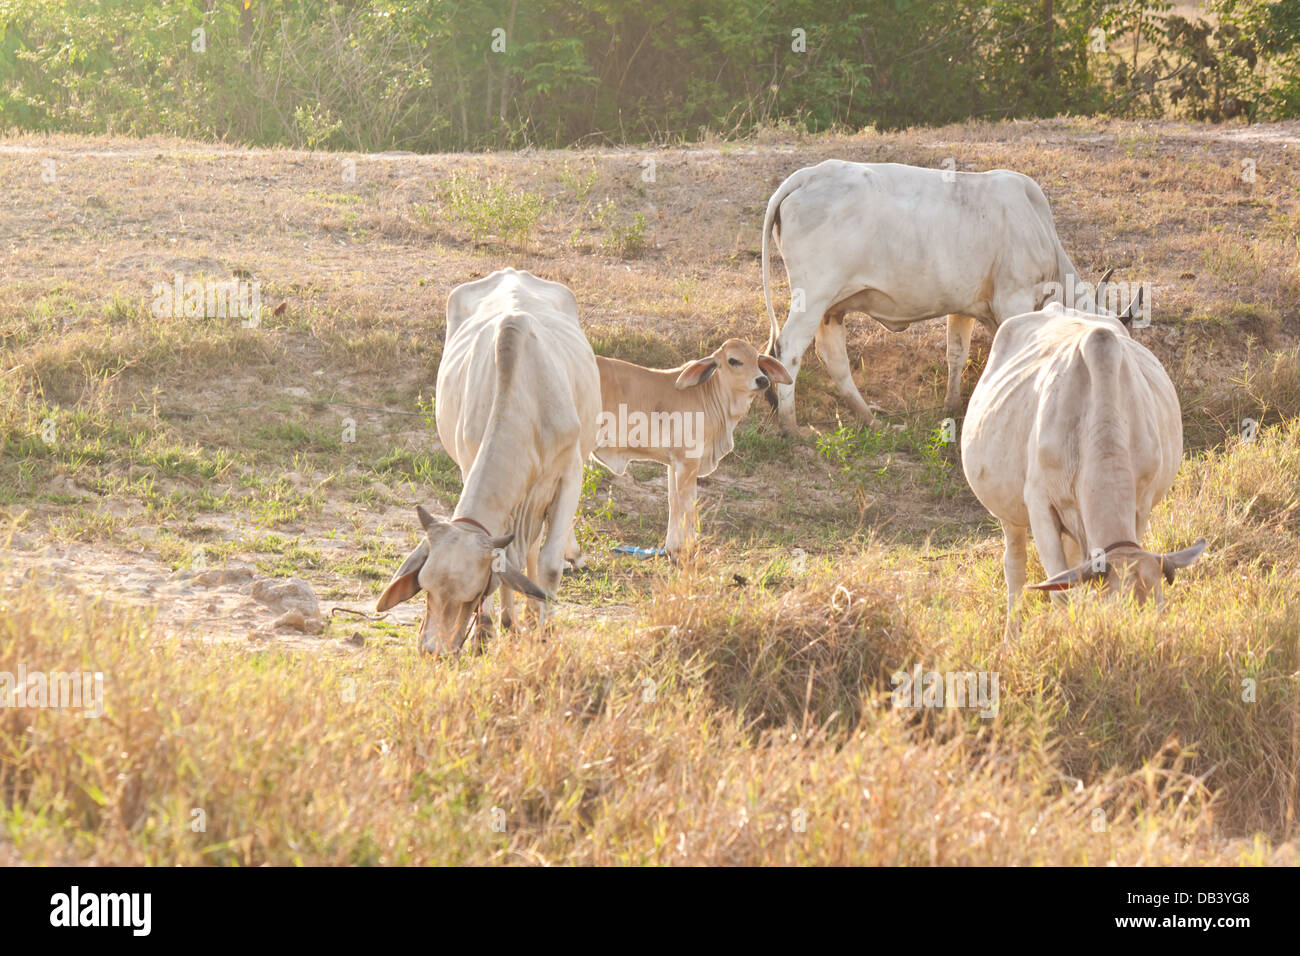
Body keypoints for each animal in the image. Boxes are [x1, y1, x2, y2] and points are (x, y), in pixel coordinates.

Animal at [374, 269, 600, 658]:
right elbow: (507, 556)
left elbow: (549, 565)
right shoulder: (472, 466)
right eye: (426, 590)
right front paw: (488, 630)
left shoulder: (570, 475)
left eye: (470, 595)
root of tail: (512, 272)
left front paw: (543, 631)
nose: (433, 650)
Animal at [592, 340, 790, 556]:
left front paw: (673, 549)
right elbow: (688, 504)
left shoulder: (673, 463)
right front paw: (688, 550)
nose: (762, 380)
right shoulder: (687, 462)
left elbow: (674, 501)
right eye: (733, 360)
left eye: (757, 360)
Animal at [759, 161, 1097, 434]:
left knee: (834, 358)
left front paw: (952, 405)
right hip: (813, 297)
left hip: (831, 308)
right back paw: (790, 427)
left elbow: (956, 354)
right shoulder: (1014, 298)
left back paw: (870, 419)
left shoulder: (963, 307)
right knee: (789, 349)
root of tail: (809, 174)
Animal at [956, 299, 1206, 642]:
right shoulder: (1040, 506)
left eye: (1159, 612)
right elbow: (1062, 593)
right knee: (1015, 567)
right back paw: (1012, 636)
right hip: (1009, 514)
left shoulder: (1141, 504)